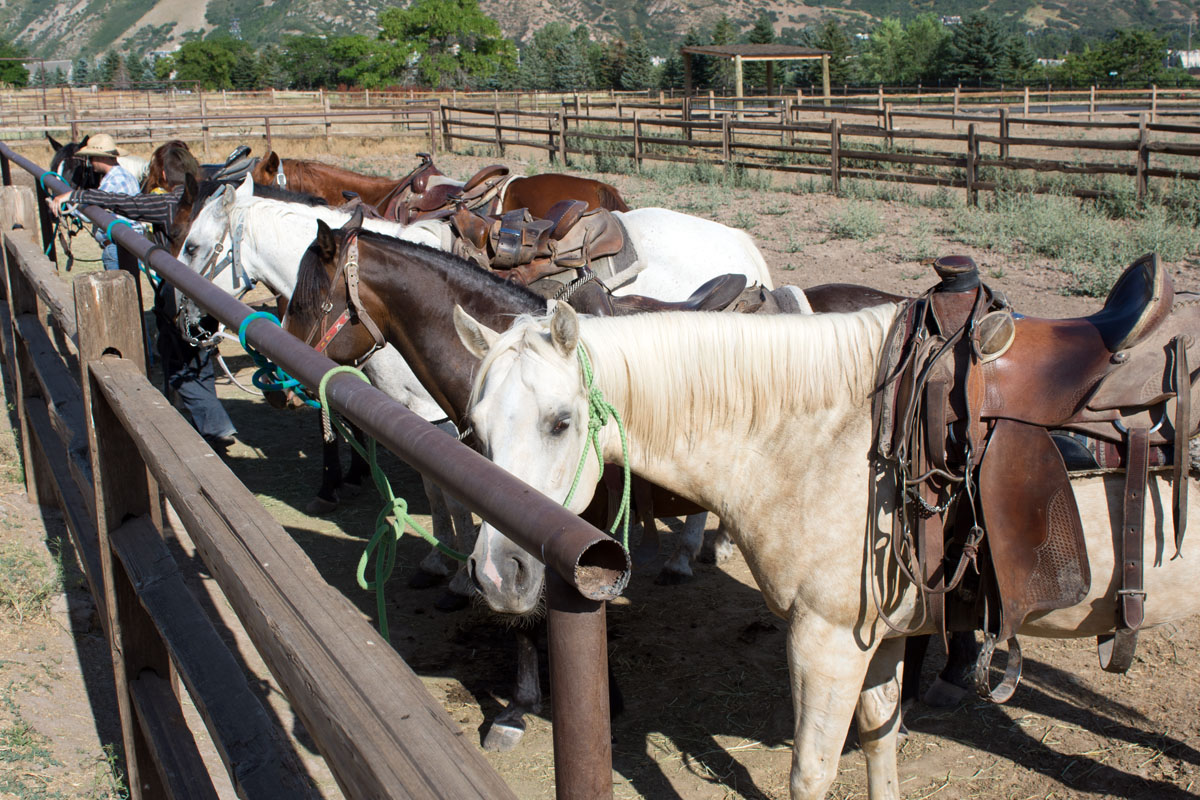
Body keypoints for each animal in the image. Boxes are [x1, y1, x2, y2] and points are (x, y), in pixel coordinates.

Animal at [453, 297, 1200, 796]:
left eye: (560, 422)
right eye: (474, 428)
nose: (498, 573)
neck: (835, 437)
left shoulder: (827, 641)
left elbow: (809, 772)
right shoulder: (878, 638)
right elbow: (878, 742)